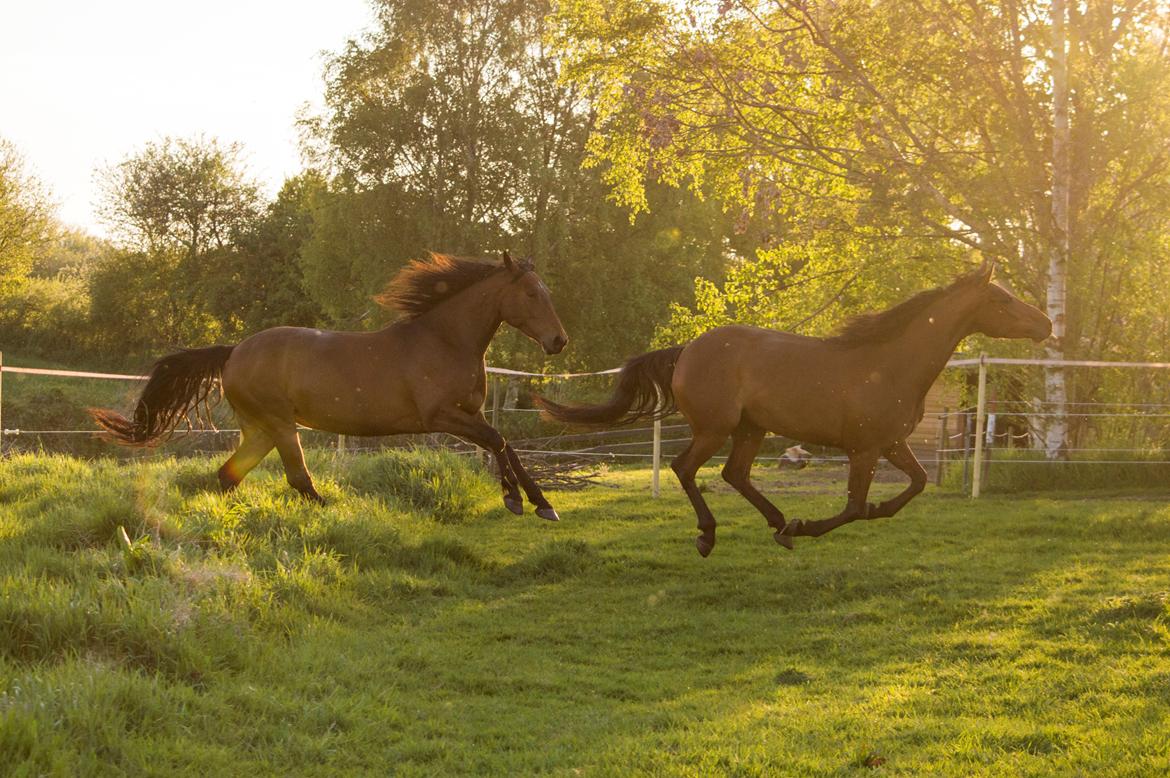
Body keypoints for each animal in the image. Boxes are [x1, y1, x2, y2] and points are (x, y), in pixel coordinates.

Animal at [90, 250, 566, 514]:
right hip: (281, 425)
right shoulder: (443, 417)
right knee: (297, 480)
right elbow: (499, 442)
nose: (558, 341)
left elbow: (504, 445)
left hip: (261, 430)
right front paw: (519, 501)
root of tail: (234, 350)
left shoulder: (472, 413)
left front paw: (537, 502)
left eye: (547, 292)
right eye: (530, 293)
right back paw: (327, 508)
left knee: (229, 474)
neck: (445, 339)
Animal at [538, 264, 1053, 554]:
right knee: (684, 468)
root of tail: (687, 350)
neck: (889, 364)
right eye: (1001, 298)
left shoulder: (891, 443)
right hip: (715, 428)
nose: (1046, 323)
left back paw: (777, 523)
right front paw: (808, 527)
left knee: (735, 474)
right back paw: (711, 535)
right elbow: (854, 507)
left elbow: (915, 485)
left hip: (752, 430)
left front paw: (822, 521)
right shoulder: (865, 449)